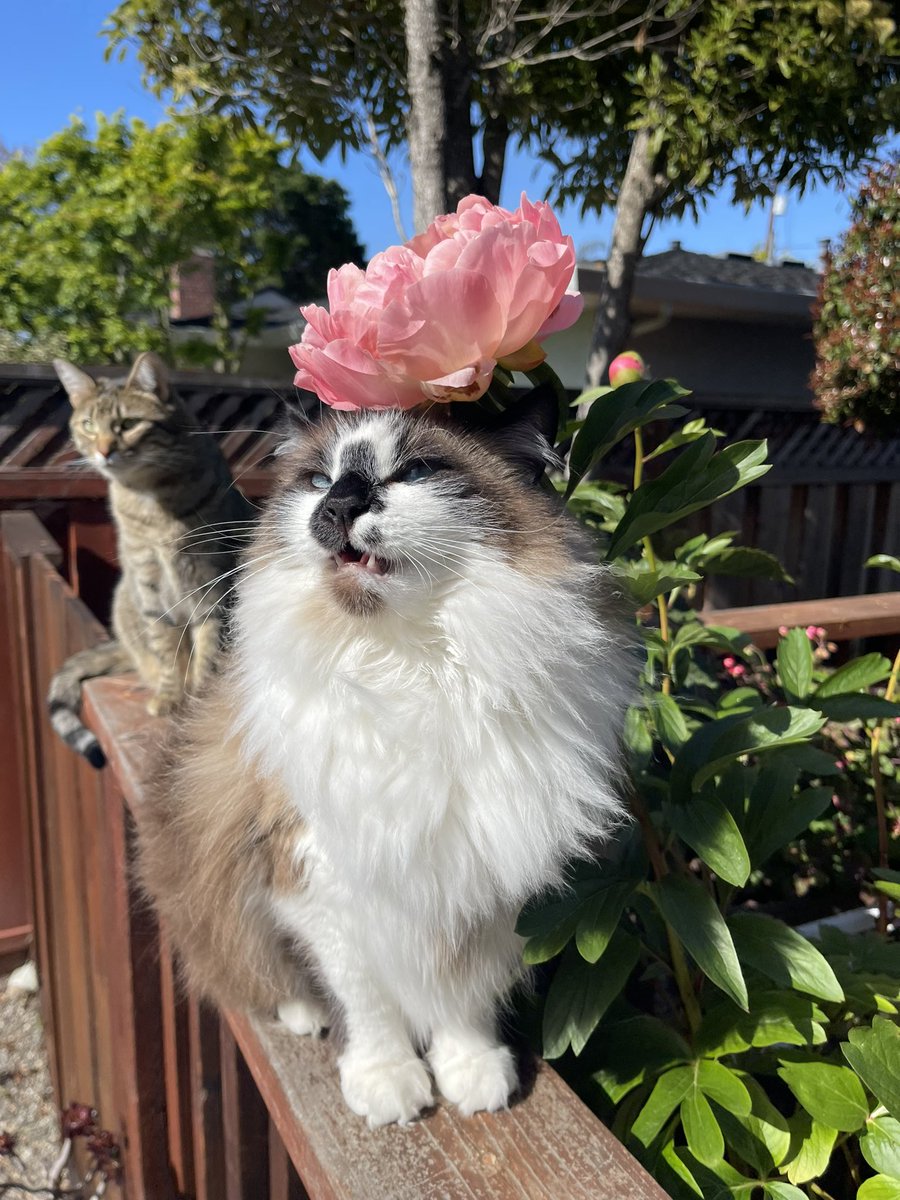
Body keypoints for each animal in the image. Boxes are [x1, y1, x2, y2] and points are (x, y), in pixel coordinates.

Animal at [48, 355, 254, 763]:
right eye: (88, 425)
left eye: (127, 424)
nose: (104, 451)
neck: (150, 502)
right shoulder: (149, 585)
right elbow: (168, 650)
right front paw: (171, 696)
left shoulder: (211, 586)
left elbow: (208, 651)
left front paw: (197, 699)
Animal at [142, 391, 633, 1123]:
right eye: (320, 480)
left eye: (415, 472)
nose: (339, 506)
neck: (410, 674)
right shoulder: (321, 882)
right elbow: (367, 1003)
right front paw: (387, 1083)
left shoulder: (480, 874)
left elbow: (463, 999)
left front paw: (471, 1074)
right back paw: (305, 1017)